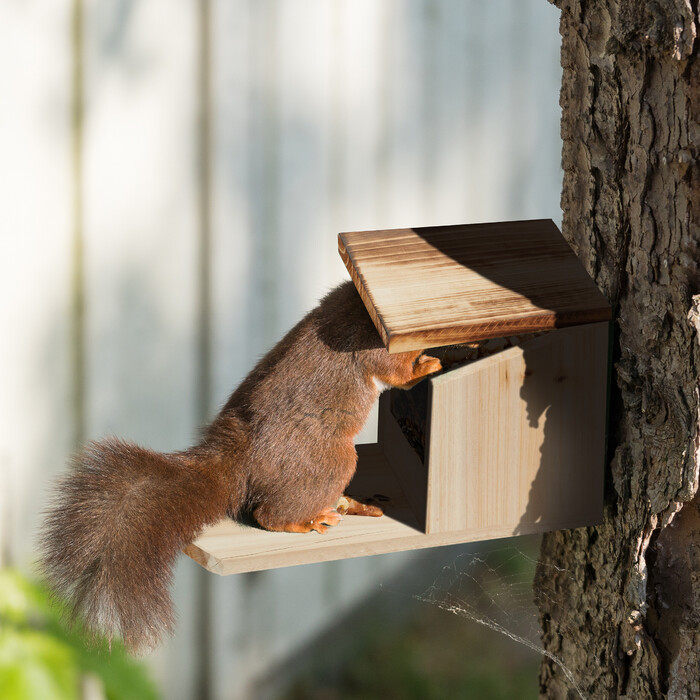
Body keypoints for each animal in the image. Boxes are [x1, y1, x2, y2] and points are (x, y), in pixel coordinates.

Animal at [39, 282, 442, 652]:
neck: (363, 306)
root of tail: (241, 464)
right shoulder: (370, 346)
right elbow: (397, 372)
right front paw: (429, 362)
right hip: (332, 460)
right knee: (269, 514)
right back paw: (306, 520)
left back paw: (349, 504)